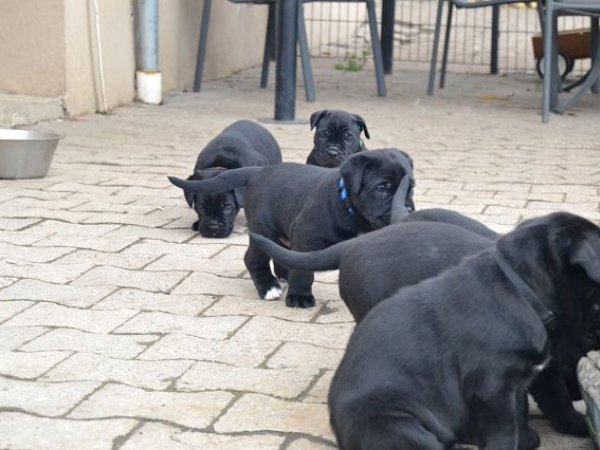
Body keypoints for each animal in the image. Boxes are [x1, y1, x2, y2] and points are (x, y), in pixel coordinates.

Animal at [169, 148, 415, 308]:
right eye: (382, 188)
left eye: (410, 187)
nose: (408, 210)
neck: (351, 209)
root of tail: (258, 172)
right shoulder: (307, 235)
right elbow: (303, 272)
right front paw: (299, 297)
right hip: (263, 229)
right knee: (254, 258)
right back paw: (268, 287)